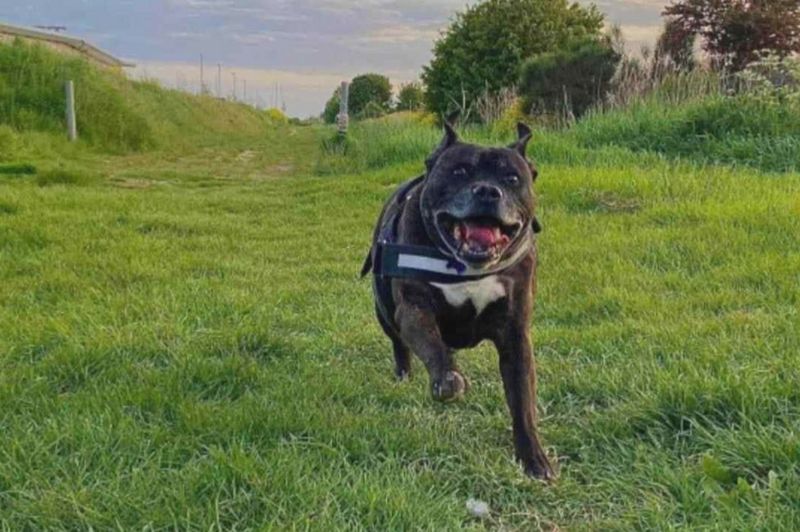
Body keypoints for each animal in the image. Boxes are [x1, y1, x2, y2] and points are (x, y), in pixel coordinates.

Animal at [364, 121, 556, 482]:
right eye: (459, 171)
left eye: (512, 179)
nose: (487, 191)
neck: (467, 266)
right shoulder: (414, 310)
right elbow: (431, 345)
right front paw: (447, 379)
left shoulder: (516, 335)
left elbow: (523, 400)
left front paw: (534, 459)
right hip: (384, 311)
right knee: (400, 342)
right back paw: (406, 373)